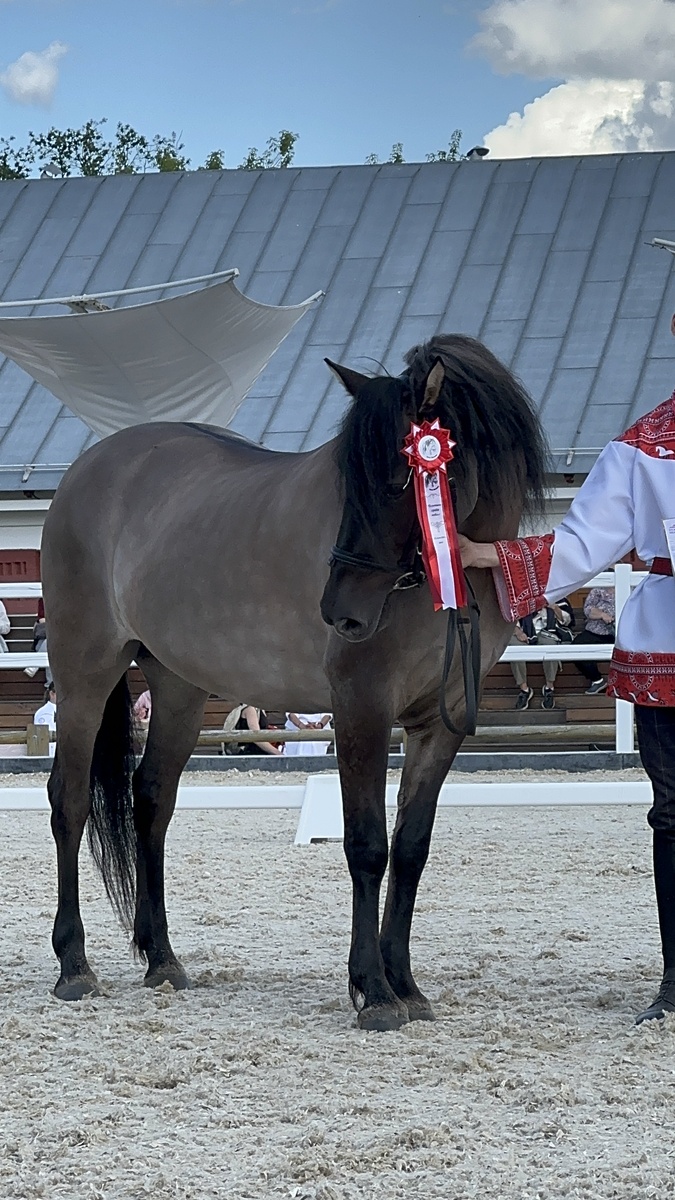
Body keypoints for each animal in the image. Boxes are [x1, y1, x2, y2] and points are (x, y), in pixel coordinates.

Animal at [39, 336, 547, 1032]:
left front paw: (407, 985)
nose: (341, 611)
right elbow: (367, 845)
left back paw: (162, 959)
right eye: (347, 482)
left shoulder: (437, 726)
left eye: (399, 480)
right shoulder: (361, 707)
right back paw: (74, 966)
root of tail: (87, 470)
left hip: (179, 687)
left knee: (152, 800)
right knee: (70, 801)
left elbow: (410, 850)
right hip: (84, 675)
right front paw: (374, 992)